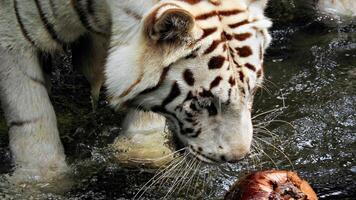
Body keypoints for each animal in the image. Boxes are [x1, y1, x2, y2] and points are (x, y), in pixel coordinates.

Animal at [0, 0, 272, 183]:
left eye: (252, 92)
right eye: (205, 104)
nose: (238, 157)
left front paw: (143, 152)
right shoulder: (13, 37)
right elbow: (32, 117)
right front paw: (39, 179)